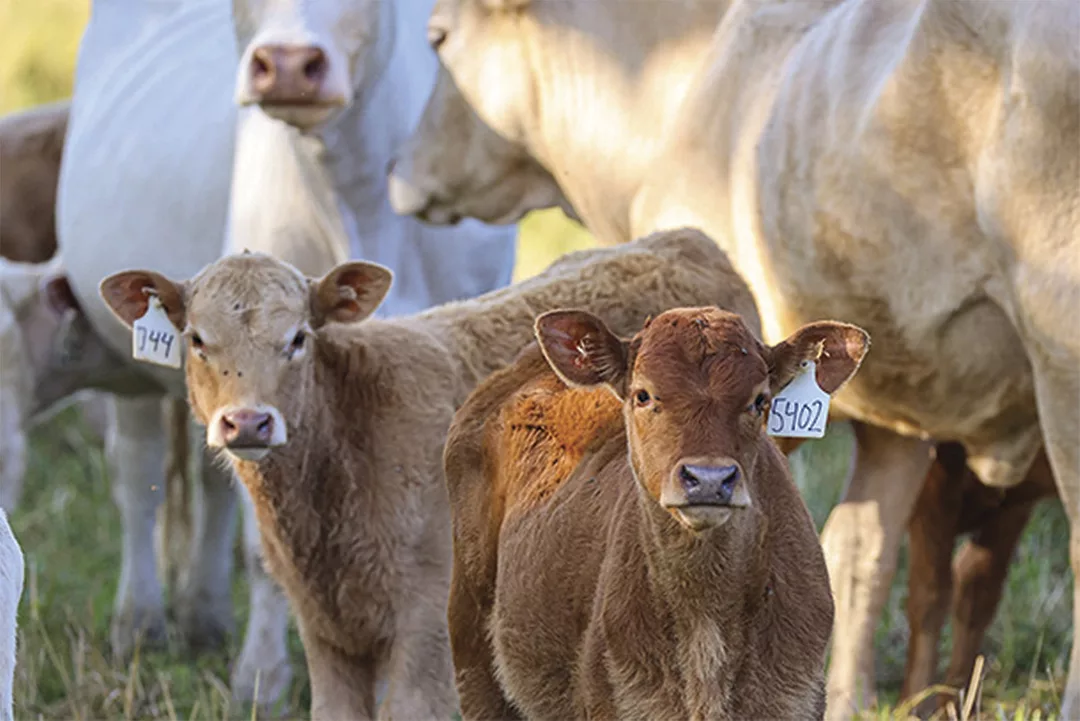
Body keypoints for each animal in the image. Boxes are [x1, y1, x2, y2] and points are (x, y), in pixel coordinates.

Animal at [56, 0, 517, 706]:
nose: (290, 65)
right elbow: (262, 554)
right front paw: (261, 678)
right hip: (133, 377)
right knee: (138, 480)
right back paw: (141, 622)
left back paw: (204, 613)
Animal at [97, 227, 762, 719]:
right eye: (196, 339)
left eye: (299, 338)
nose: (248, 423)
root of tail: (687, 241)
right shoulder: (326, 635)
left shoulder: (425, 630)